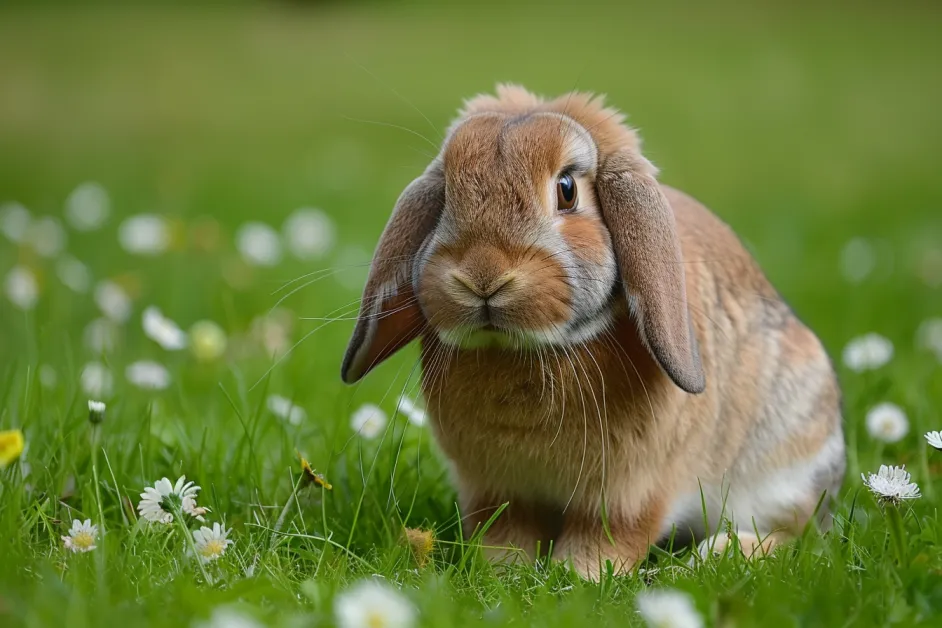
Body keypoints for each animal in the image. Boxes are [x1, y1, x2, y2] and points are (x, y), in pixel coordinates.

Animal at [342, 84, 848, 580]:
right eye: (446, 192)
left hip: (780, 473)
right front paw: (501, 572)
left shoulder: (632, 490)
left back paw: (714, 555)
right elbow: (506, 531)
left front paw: (580, 576)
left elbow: (611, 534)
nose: (482, 276)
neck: (522, 350)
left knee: (794, 538)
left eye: (566, 191)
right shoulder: (498, 490)